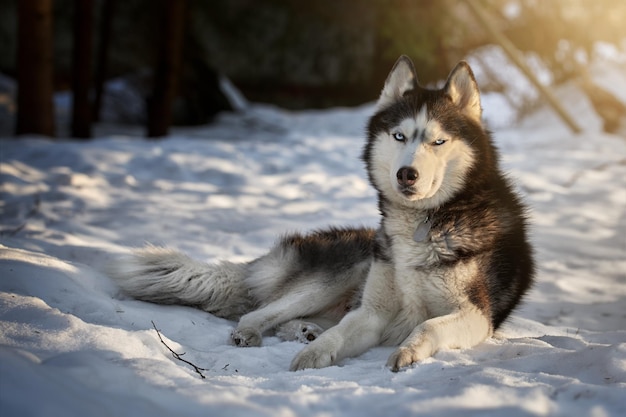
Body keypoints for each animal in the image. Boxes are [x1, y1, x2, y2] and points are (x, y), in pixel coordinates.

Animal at [111, 56, 532, 370]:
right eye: (399, 136)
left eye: (439, 141)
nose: (406, 174)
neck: (427, 222)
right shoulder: (373, 311)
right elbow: (340, 334)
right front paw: (313, 355)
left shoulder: (477, 315)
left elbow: (428, 326)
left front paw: (406, 351)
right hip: (346, 270)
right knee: (259, 313)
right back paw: (269, 333)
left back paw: (303, 331)